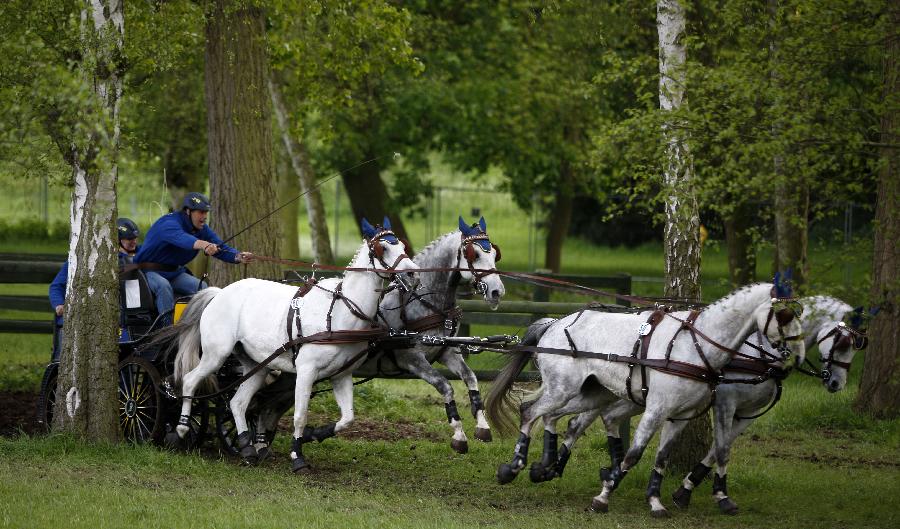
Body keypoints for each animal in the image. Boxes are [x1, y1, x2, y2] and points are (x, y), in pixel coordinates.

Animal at [166, 217, 418, 472]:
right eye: (383, 248)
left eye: (402, 246)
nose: (412, 275)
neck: (340, 311)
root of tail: (219, 293)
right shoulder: (306, 371)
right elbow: (300, 415)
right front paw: (298, 456)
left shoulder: (341, 375)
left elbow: (347, 419)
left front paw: (314, 435)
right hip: (216, 354)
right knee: (190, 381)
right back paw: (181, 429)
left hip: (257, 365)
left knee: (237, 402)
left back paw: (247, 447)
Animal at [488, 280, 804, 516]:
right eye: (785, 316)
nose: (796, 355)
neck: (696, 344)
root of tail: (554, 323)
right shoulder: (658, 408)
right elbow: (634, 453)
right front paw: (603, 497)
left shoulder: (679, 416)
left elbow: (662, 458)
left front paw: (655, 500)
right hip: (562, 389)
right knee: (530, 411)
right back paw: (513, 468)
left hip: (590, 393)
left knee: (555, 417)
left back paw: (544, 466)